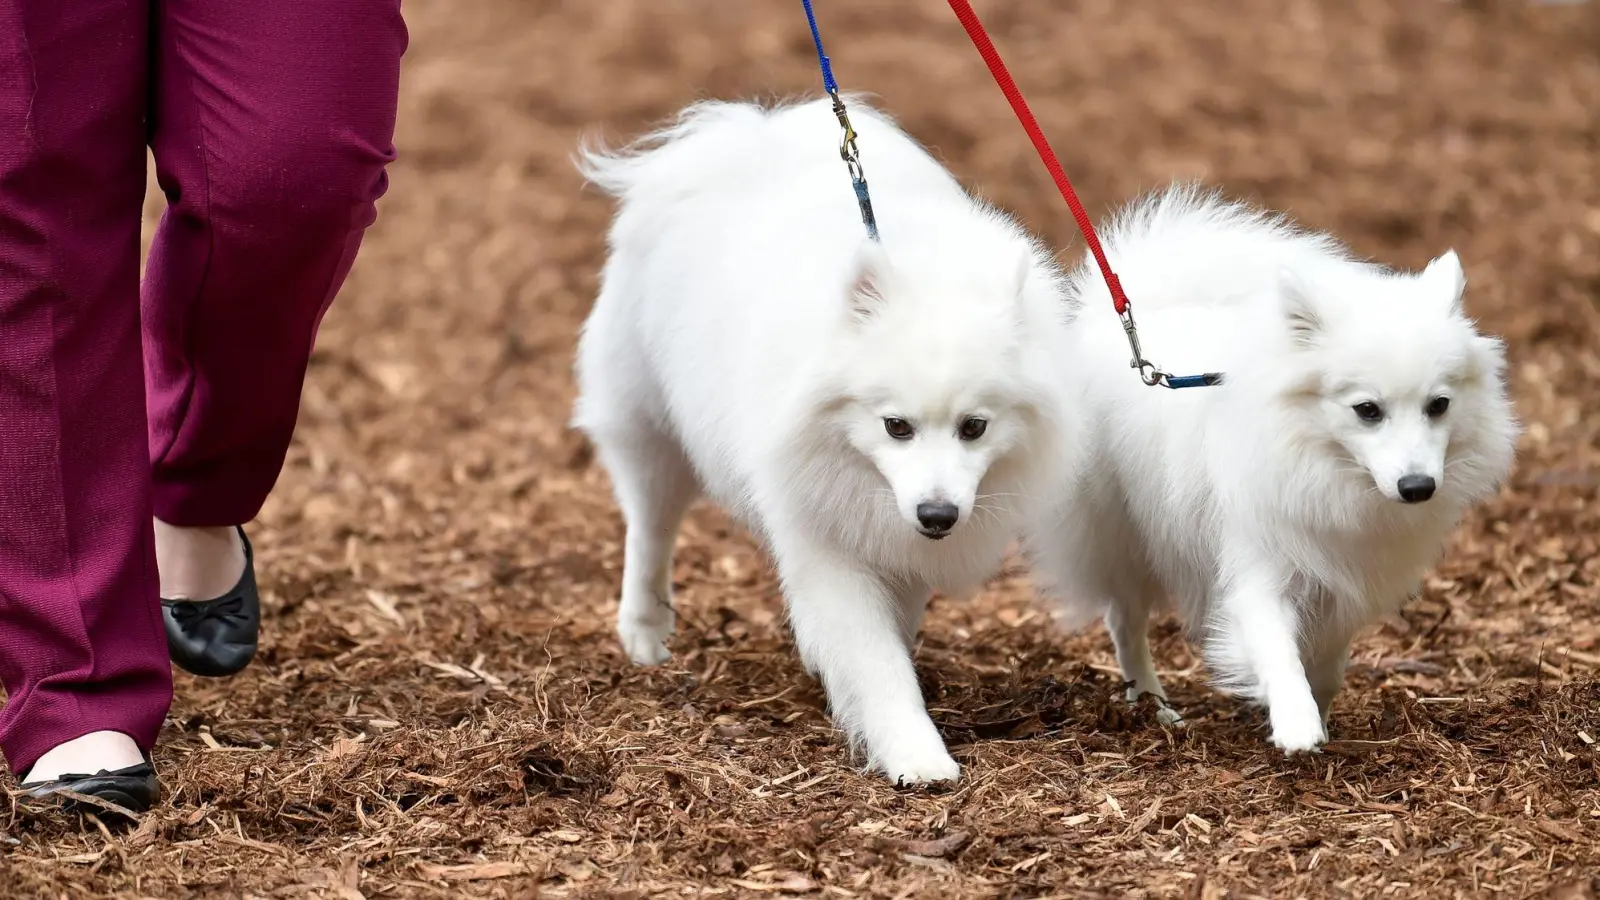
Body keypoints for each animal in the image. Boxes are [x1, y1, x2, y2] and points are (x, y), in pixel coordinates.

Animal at [569, 98, 1081, 781]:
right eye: (896, 426)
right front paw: (915, 753)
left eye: (975, 427)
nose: (938, 514)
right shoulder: (824, 537)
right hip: (650, 430)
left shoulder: (897, 541)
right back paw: (645, 632)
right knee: (650, 529)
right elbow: (873, 656)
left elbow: (894, 629)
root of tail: (741, 138)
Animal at [1030, 187, 1516, 749]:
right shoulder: (1260, 567)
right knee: (1125, 624)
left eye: (1438, 406)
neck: (1323, 467)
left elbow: (1327, 667)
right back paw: (1154, 705)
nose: (1417, 487)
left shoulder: (1342, 587)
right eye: (1367, 410)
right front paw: (1296, 723)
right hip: (1123, 540)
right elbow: (1278, 650)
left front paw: (1319, 714)